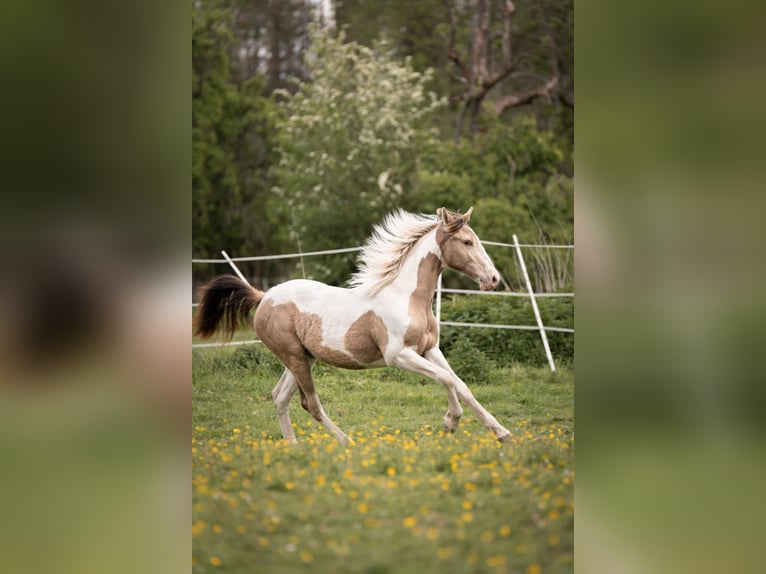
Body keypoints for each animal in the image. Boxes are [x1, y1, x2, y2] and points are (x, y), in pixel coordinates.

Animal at [195, 207, 512, 446]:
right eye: (467, 242)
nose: (493, 279)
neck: (406, 298)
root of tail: (264, 297)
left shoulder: (430, 349)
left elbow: (460, 384)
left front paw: (501, 433)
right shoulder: (398, 356)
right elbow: (446, 379)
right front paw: (451, 423)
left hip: (302, 358)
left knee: (279, 397)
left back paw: (293, 446)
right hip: (295, 358)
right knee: (310, 404)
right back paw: (346, 441)